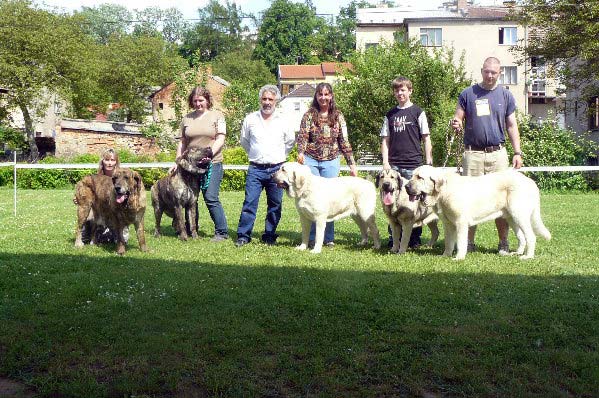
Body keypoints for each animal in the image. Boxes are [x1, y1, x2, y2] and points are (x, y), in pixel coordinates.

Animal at [406, 165, 552, 262]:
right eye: (412, 176)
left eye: (419, 177)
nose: (406, 187)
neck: (443, 191)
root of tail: (530, 182)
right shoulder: (448, 224)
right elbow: (449, 241)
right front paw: (445, 255)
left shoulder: (460, 222)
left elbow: (460, 241)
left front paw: (459, 258)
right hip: (511, 217)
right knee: (521, 236)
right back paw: (517, 253)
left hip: (519, 214)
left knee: (531, 236)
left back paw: (527, 256)